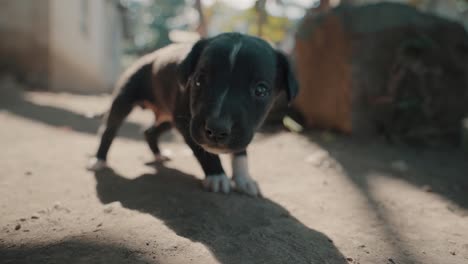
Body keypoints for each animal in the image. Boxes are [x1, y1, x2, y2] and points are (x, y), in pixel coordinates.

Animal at [88, 32, 298, 196]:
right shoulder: (188, 124)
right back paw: (99, 160)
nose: (217, 130)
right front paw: (217, 175)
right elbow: (203, 152)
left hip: (169, 118)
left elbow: (240, 152)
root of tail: (147, 57)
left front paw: (243, 178)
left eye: (261, 90)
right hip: (124, 100)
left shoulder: (240, 130)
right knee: (108, 130)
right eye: (199, 81)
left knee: (149, 132)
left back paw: (159, 155)